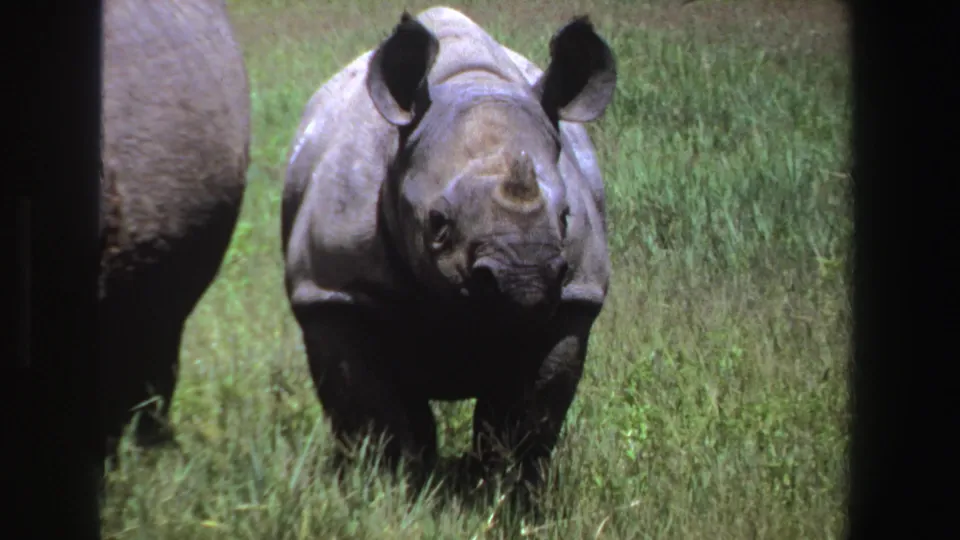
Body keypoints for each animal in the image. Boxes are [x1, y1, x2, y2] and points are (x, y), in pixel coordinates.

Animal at [282, 6, 616, 498]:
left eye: (565, 217)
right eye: (437, 223)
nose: (525, 279)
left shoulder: (575, 294)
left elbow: (527, 418)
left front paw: (506, 496)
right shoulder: (332, 290)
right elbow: (371, 412)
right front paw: (389, 492)